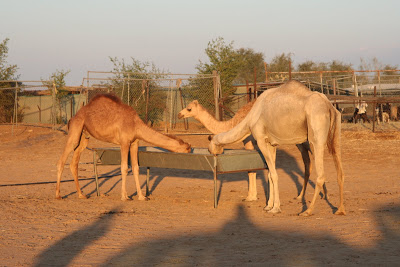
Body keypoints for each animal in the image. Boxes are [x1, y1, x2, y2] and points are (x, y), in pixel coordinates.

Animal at [55, 94, 191, 201]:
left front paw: (141, 197)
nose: (190, 149)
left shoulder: (135, 143)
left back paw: (81, 195)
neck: (136, 125)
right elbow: (124, 167)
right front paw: (125, 196)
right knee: (61, 160)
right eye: (186, 148)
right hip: (75, 131)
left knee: (74, 163)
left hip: (84, 137)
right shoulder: (124, 142)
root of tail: (72, 117)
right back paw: (58, 195)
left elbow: (136, 168)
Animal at [179, 100, 316, 203]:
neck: (234, 122)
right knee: (307, 164)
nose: (179, 114)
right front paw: (255, 196)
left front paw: (250, 197)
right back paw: (300, 196)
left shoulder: (249, 140)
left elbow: (251, 169)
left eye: (189, 108)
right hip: (301, 142)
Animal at [208, 80, 346, 218]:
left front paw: (275, 208)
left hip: (315, 133)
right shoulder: (271, 144)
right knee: (340, 171)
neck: (251, 117)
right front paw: (268, 206)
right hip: (336, 134)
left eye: (209, 149)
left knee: (321, 175)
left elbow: (274, 175)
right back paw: (340, 209)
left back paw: (307, 210)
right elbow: (270, 174)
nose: (213, 154)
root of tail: (329, 106)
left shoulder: (261, 139)